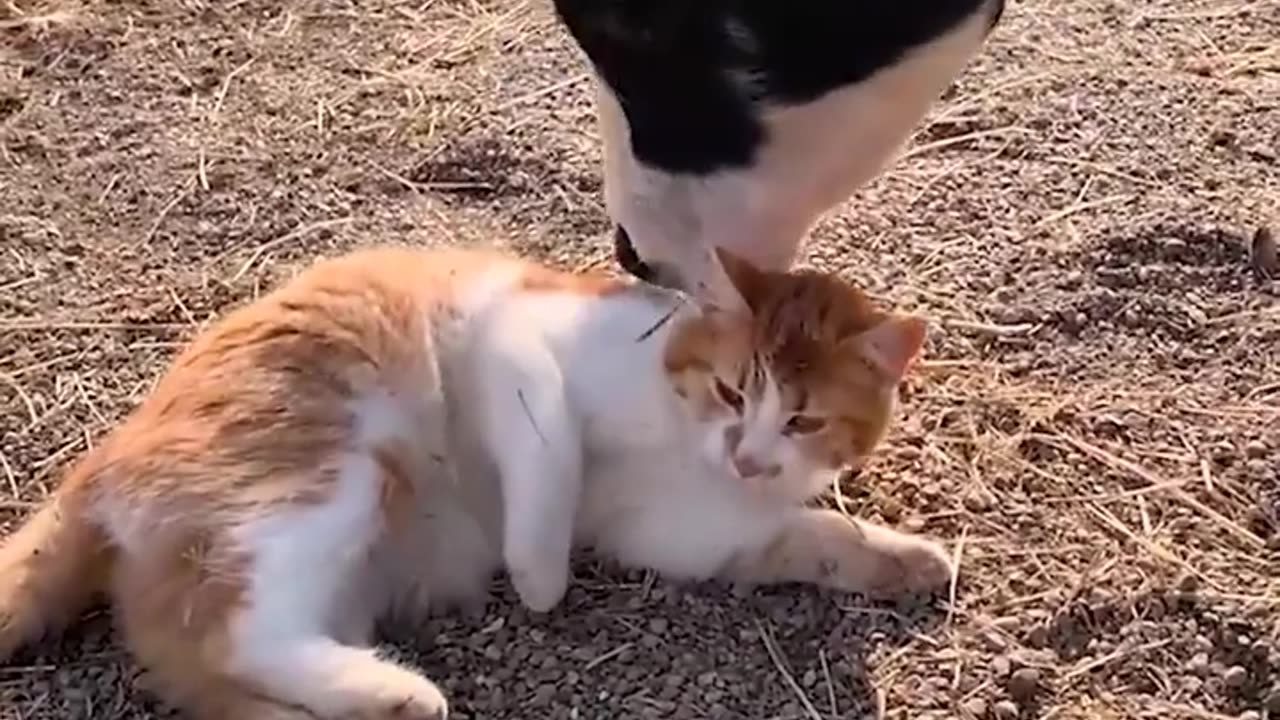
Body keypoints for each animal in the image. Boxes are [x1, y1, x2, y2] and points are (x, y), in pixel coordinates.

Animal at [0, 243, 957, 712]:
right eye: (731, 391)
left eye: (802, 421)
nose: (748, 456)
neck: (687, 442)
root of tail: (98, 461)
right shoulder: (516, 343)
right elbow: (551, 451)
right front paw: (538, 574)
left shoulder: (691, 530)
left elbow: (819, 538)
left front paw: (909, 560)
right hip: (330, 479)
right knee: (236, 636)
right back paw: (401, 693)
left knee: (216, 667)